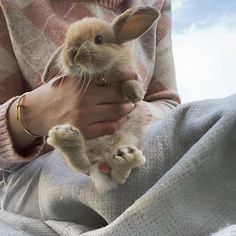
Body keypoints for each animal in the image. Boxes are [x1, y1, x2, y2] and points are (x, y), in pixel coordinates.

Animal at [42, 6, 160, 194]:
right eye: (66, 42)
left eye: (98, 39)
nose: (72, 52)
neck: (98, 73)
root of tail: (103, 160)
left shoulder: (126, 72)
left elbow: (130, 81)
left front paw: (135, 93)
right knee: (84, 164)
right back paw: (67, 141)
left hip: (132, 137)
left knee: (119, 175)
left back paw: (127, 158)